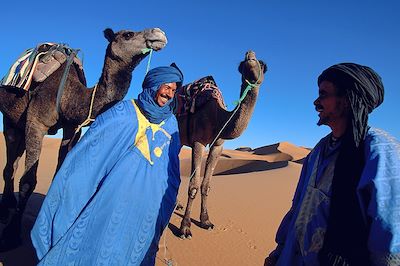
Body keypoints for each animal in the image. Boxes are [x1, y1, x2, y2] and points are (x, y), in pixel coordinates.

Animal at [177, 50, 266, 239]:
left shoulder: (218, 146)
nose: (250, 55)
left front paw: (205, 221)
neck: (219, 116)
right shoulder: (198, 141)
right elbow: (193, 185)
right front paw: (185, 228)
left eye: (263, 65)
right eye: (241, 65)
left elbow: (206, 185)